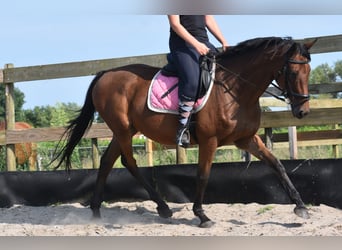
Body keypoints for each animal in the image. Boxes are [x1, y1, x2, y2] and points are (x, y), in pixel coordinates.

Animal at [55, 37, 316, 229]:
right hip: (122, 129)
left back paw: (98, 210)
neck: (236, 90)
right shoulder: (209, 141)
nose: (303, 111)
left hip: (126, 130)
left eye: (309, 71)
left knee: (108, 161)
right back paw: (161, 207)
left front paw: (301, 206)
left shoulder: (246, 139)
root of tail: (105, 74)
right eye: (293, 73)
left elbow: (277, 165)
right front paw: (202, 216)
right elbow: (203, 175)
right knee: (128, 162)